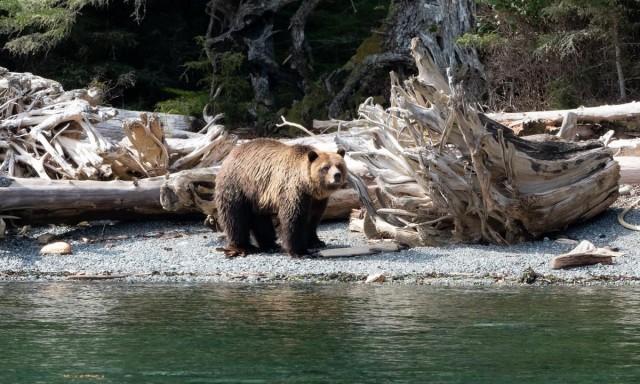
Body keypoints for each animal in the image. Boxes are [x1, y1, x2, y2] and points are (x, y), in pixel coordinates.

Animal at [214, 138, 344, 258]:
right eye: (325, 167)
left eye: (339, 165)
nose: (337, 175)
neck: (308, 185)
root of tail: (230, 154)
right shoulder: (294, 189)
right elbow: (294, 218)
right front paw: (300, 251)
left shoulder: (317, 199)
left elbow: (314, 217)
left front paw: (316, 242)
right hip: (238, 185)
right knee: (235, 216)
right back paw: (243, 246)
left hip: (257, 195)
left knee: (260, 219)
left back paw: (270, 244)